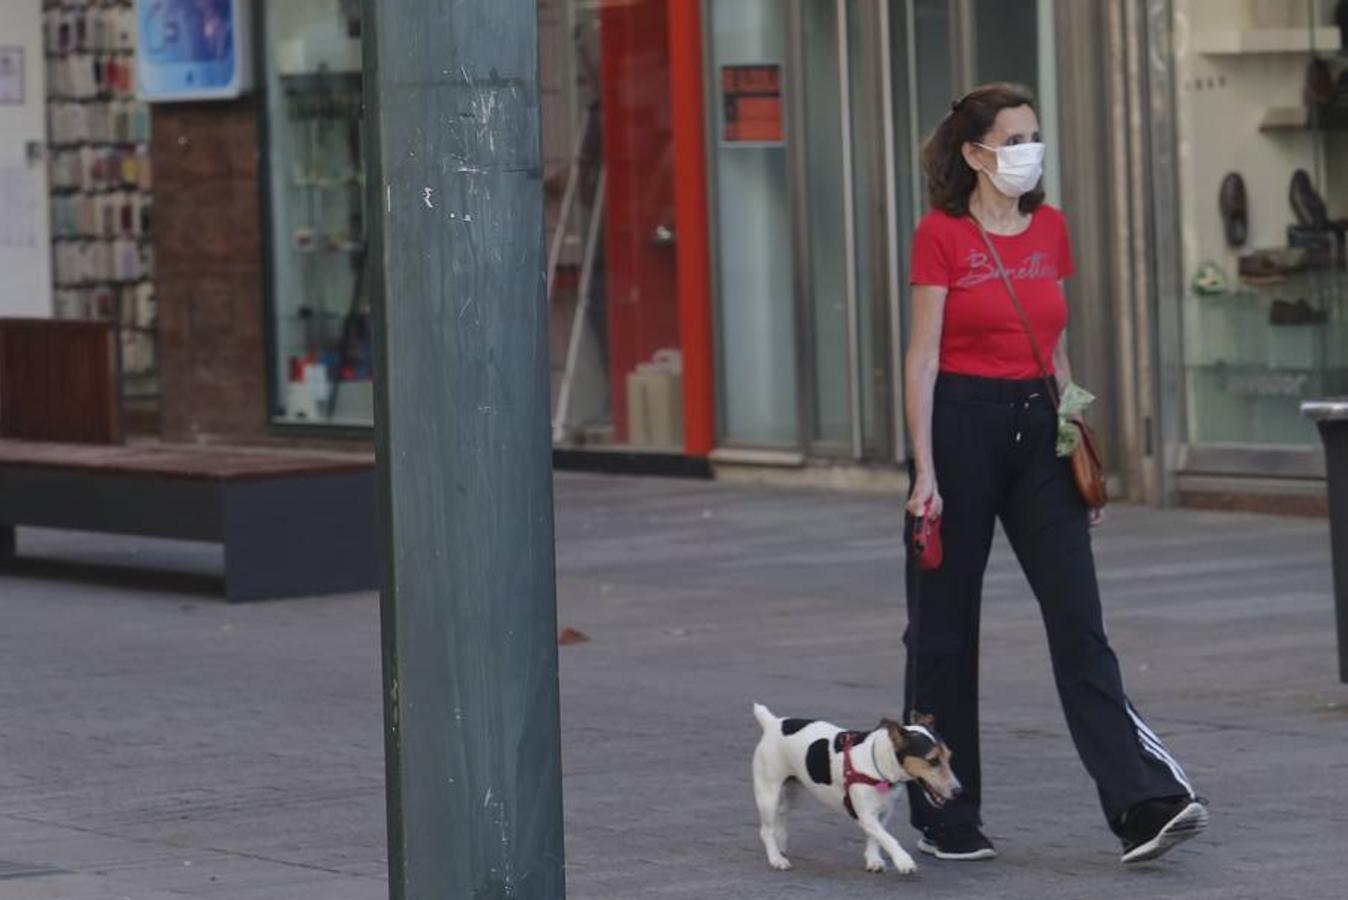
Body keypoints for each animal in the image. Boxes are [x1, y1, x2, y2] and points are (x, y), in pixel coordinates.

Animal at [749, 700, 959, 873]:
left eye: (949, 757)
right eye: (933, 760)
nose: (958, 791)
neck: (879, 765)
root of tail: (772, 723)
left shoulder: (884, 812)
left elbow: (877, 837)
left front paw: (874, 860)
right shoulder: (864, 815)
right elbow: (887, 837)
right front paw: (903, 860)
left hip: (791, 790)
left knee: (781, 818)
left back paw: (780, 848)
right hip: (768, 793)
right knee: (766, 829)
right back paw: (776, 858)